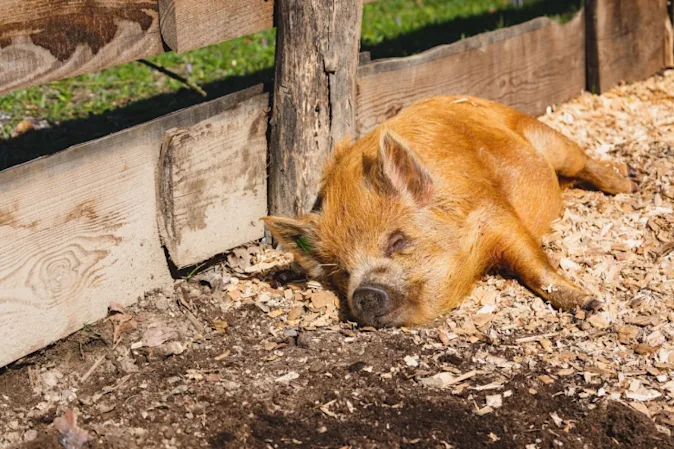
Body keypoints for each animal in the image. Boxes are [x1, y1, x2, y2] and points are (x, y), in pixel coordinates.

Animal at [263, 96, 636, 327]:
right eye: (342, 270)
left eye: (397, 241)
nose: (365, 293)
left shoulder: (495, 214)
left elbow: (534, 264)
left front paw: (593, 304)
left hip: (551, 140)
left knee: (583, 159)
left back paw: (631, 183)